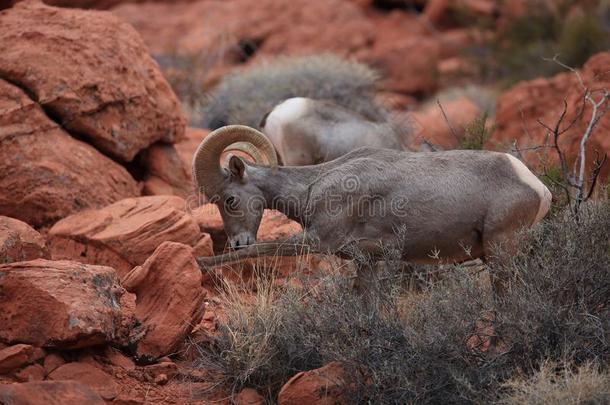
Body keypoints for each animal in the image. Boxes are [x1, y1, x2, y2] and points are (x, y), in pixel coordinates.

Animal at [195, 125, 552, 290]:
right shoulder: (367, 262)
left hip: (500, 252)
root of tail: (537, 187)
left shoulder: (317, 240)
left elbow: (263, 249)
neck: (313, 187)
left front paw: (201, 263)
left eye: (229, 199)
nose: (238, 240)